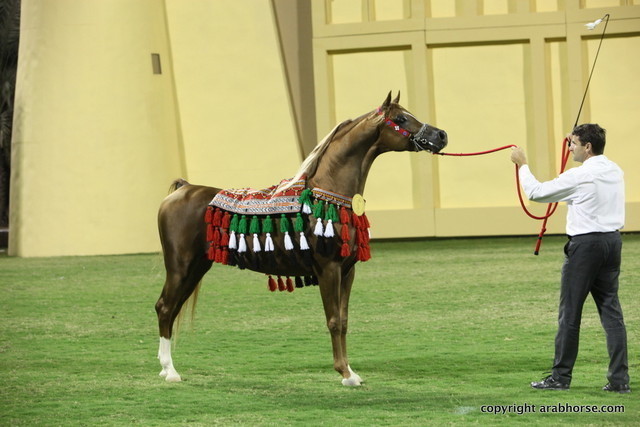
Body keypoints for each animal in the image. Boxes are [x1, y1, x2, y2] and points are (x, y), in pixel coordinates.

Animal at [155, 92, 448, 386]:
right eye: (400, 119)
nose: (441, 135)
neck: (327, 194)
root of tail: (183, 189)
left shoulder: (347, 271)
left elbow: (344, 320)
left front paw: (351, 372)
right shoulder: (329, 269)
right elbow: (333, 320)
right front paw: (344, 373)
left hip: (197, 267)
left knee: (171, 308)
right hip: (180, 266)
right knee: (165, 308)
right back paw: (170, 371)